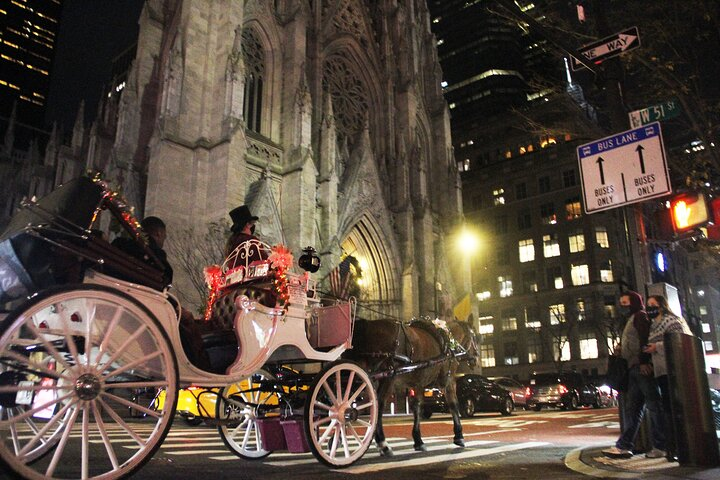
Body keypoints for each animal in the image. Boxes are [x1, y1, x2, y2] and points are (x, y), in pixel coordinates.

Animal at [348, 316, 478, 456]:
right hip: (388, 378)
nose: (476, 359)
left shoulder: (417, 383)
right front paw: (459, 436)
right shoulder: (448, 381)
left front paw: (417, 440)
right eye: (475, 336)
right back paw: (383, 444)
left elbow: (416, 407)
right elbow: (453, 404)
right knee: (378, 405)